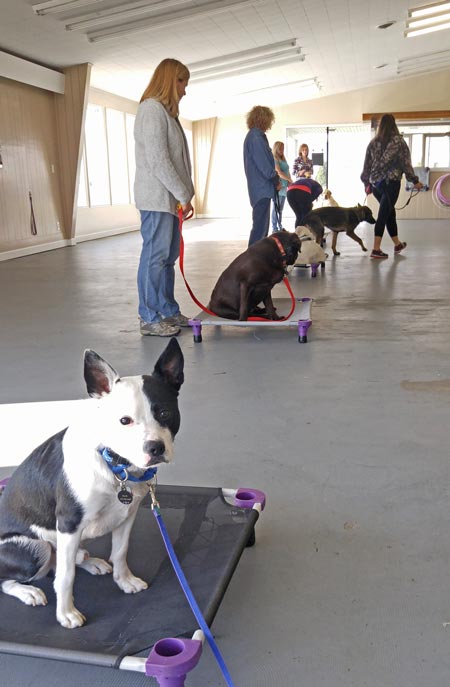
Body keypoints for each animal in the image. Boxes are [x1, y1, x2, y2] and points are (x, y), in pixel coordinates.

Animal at [0, 338, 185, 628]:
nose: (155, 448)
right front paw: (66, 613)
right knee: (16, 577)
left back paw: (90, 561)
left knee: (68, 560)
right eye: (124, 421)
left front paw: (124, 581)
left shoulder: (127, 514)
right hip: (35, 547)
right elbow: (65, 577)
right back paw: (27, 590)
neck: (115, 465)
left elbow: (120, 551)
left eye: (165, 413)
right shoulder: (68, 523)